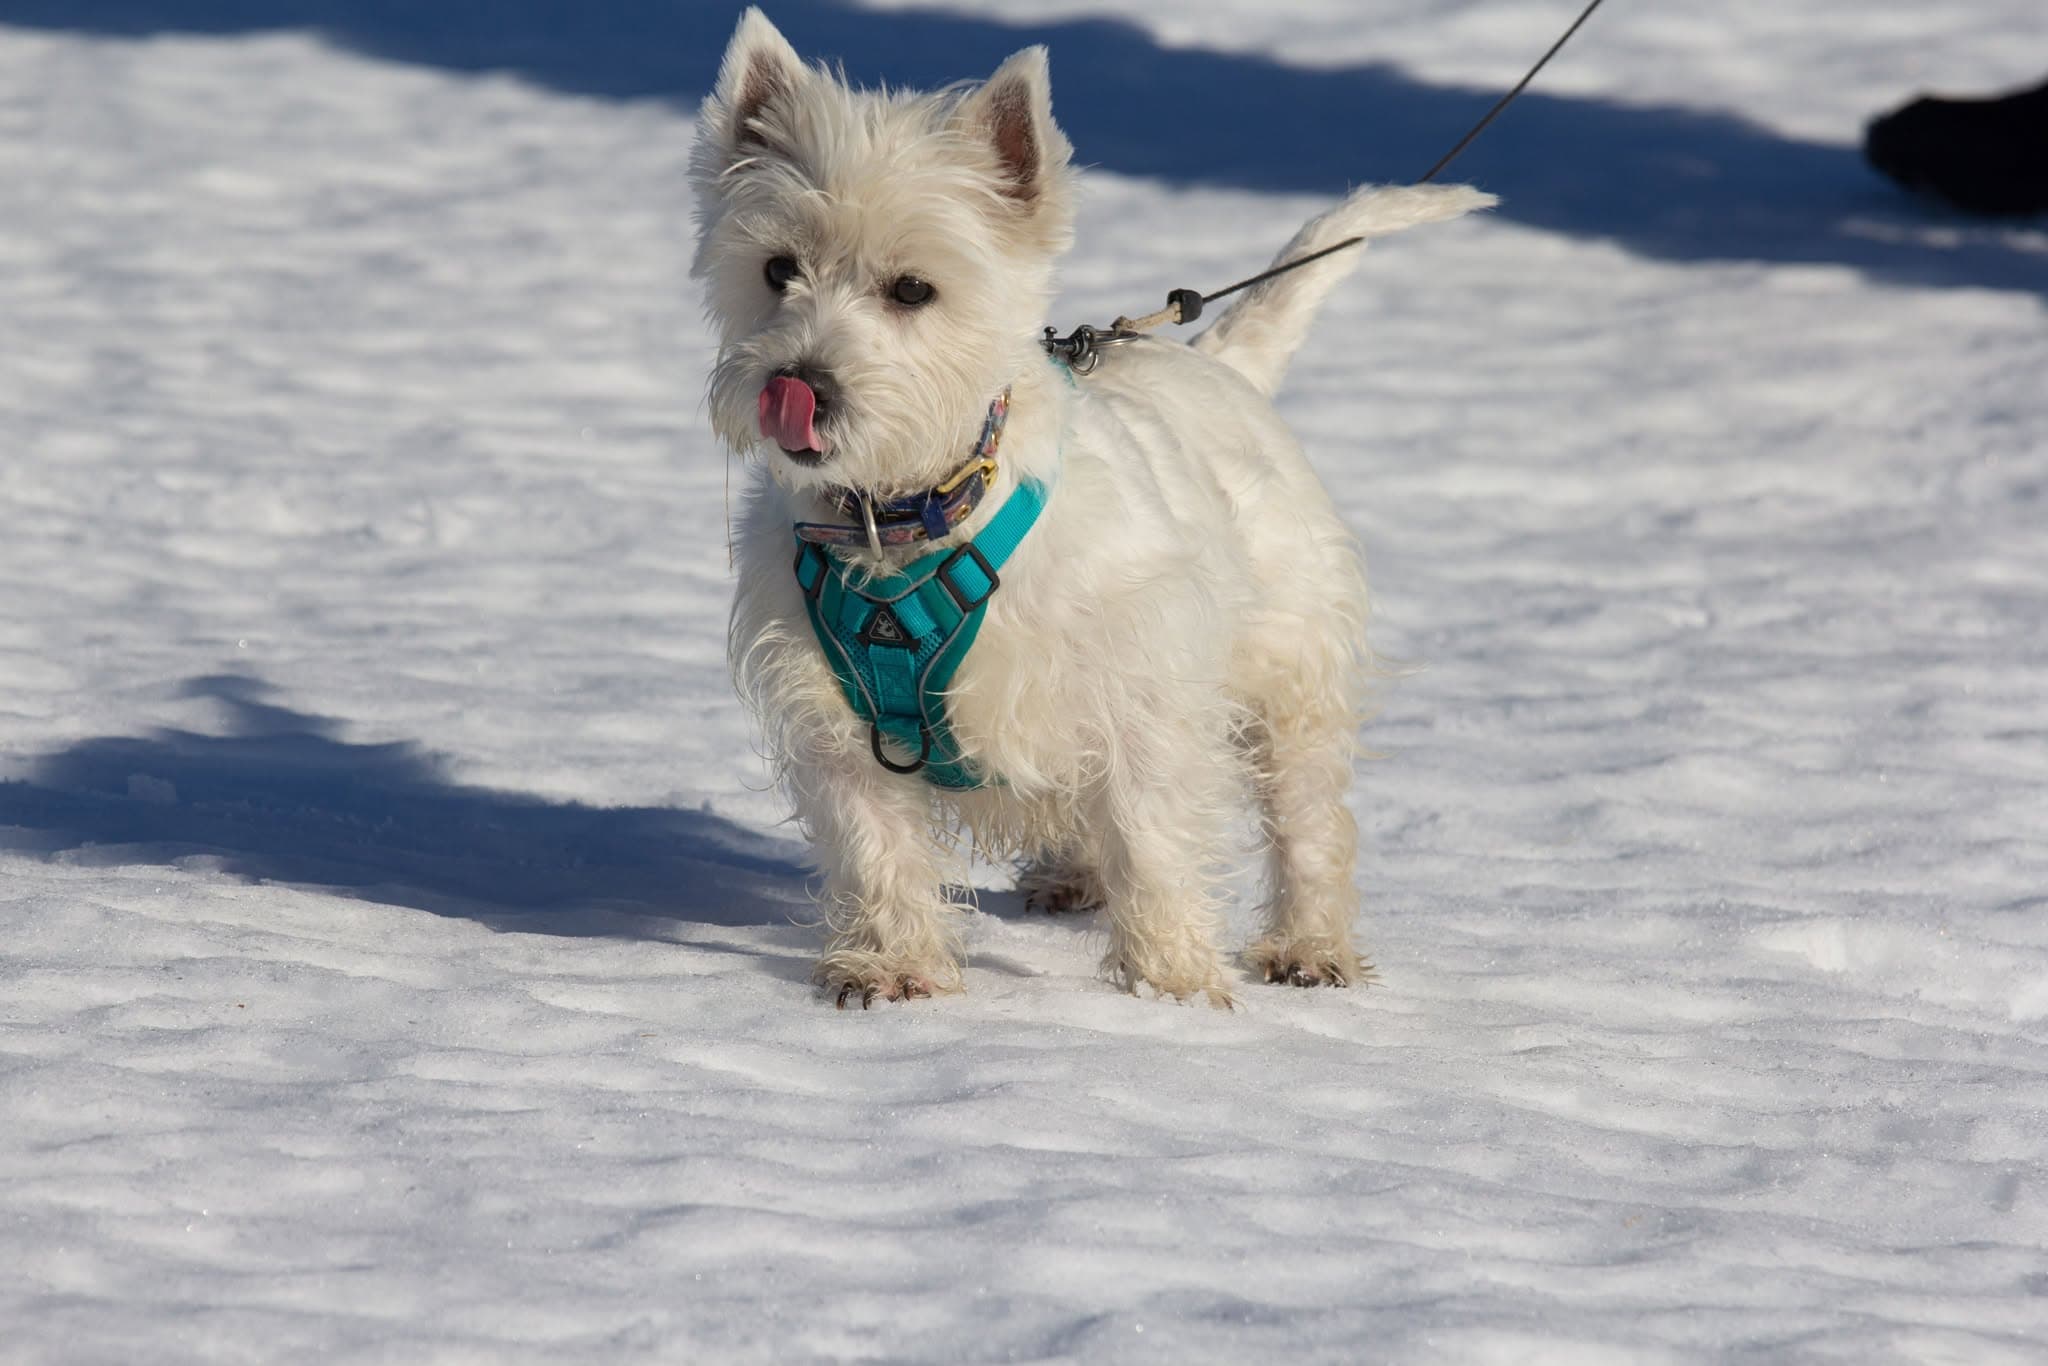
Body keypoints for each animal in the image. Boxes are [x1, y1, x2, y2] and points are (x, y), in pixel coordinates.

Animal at [692, 10, 1490, 1011]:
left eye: (912, 288)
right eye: (777, 269)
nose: (798, 385)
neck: (910, 517)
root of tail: (1219, 361)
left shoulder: (1142, 690)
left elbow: (1153, 840)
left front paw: (1171, 989)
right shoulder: (835, 717)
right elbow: (877, 847)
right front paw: (893, 969)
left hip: (1292, 669)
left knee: (1307, 815)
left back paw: (1308, 948)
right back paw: (1071, 875)